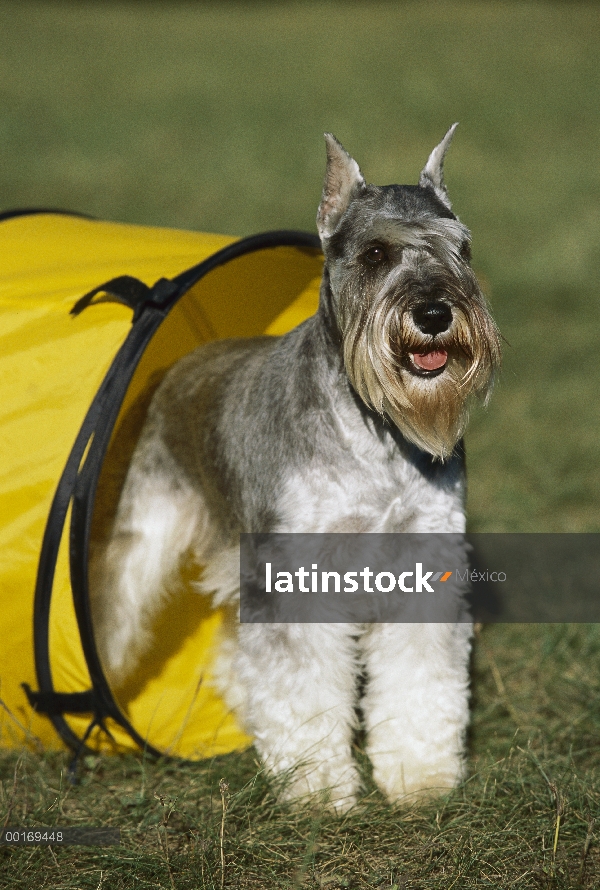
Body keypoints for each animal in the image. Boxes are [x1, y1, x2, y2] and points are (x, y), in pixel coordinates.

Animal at [90, 126, 502, 812]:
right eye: (375, 253)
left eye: (462, 248)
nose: (436, 314)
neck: (377, 432)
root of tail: (181, 365)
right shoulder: (295, 574)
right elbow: (302, 684)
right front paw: (315, 787)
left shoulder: (424, 562)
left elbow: (420, 680)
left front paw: (419, 776)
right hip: (147, 533)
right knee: (117, 609)